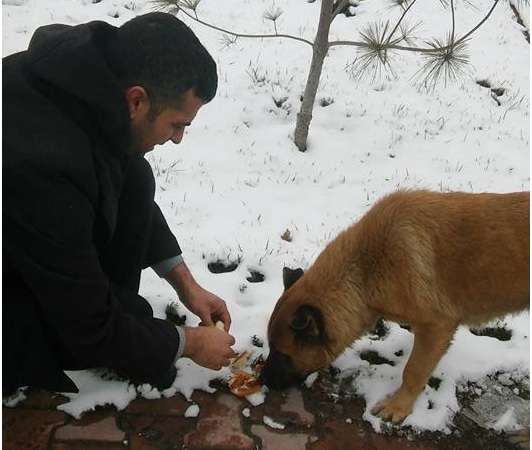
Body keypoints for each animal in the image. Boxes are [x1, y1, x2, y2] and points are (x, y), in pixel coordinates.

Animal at [258, 190, 528, 426]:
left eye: (282, 354)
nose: (261, 380)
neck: (364, 270)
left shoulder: (436, 326)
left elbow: (413, 370)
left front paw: (399, 405)